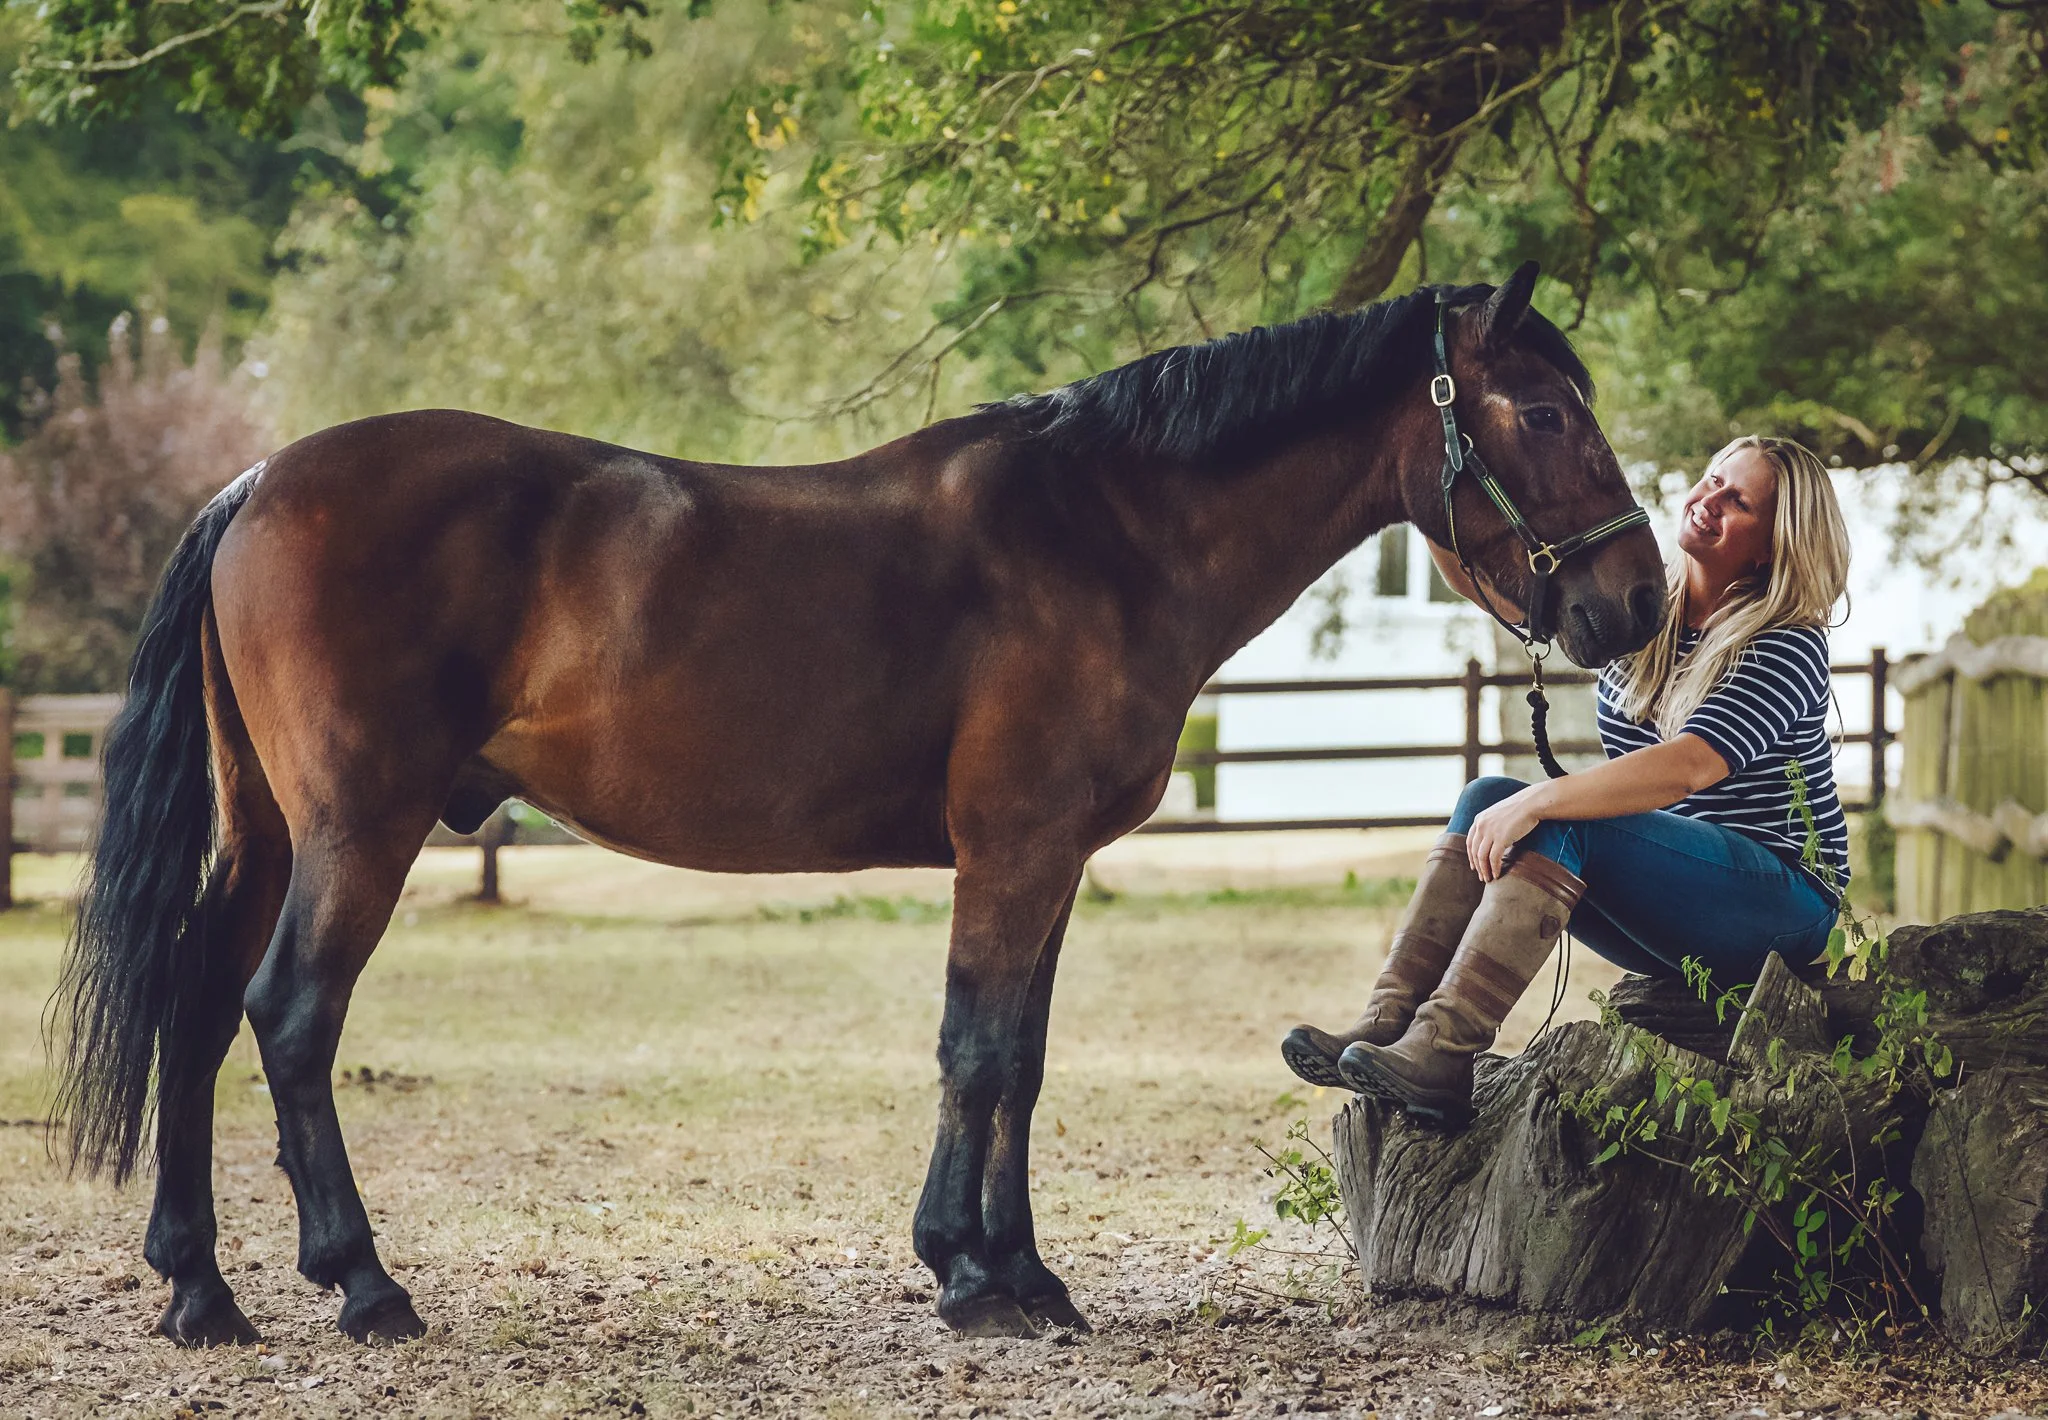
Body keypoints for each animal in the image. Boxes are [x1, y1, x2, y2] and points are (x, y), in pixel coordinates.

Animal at [50, 261, 1664, 1346]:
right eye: (1540, 409)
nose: (1635, 599)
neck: (1102, 533)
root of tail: (258, 480)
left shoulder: (1050, 863)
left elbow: (1020, 1059)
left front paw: (1021, 1272)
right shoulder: (1011, 848)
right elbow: (976, 1050)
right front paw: (969, 1277)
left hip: (268, 833)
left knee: (197, 1008)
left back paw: (201, 1291)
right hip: (357, 831)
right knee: (289, 1016)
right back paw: (362, 1283)